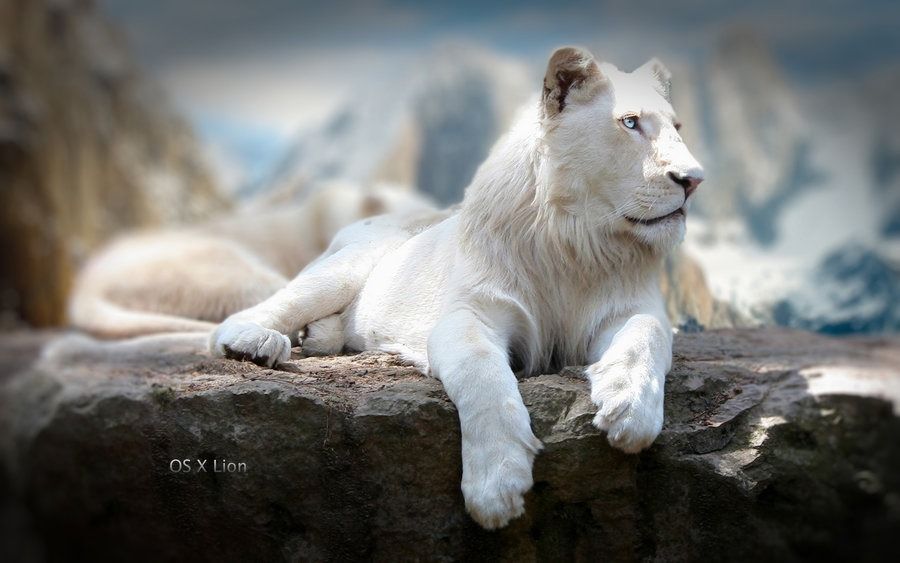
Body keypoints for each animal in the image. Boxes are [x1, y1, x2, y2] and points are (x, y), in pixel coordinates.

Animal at [208, 47, 704, 529]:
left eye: (678, 127)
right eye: (630, 122)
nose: (694, 180)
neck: (576, 241)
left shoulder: (630, 308)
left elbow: (646, 335)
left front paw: (630, 408)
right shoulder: (471, 312)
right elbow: (482, 373)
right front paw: (496, 485)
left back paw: (318, 337)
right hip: (347, 266)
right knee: (247, 316)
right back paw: (257, 343)